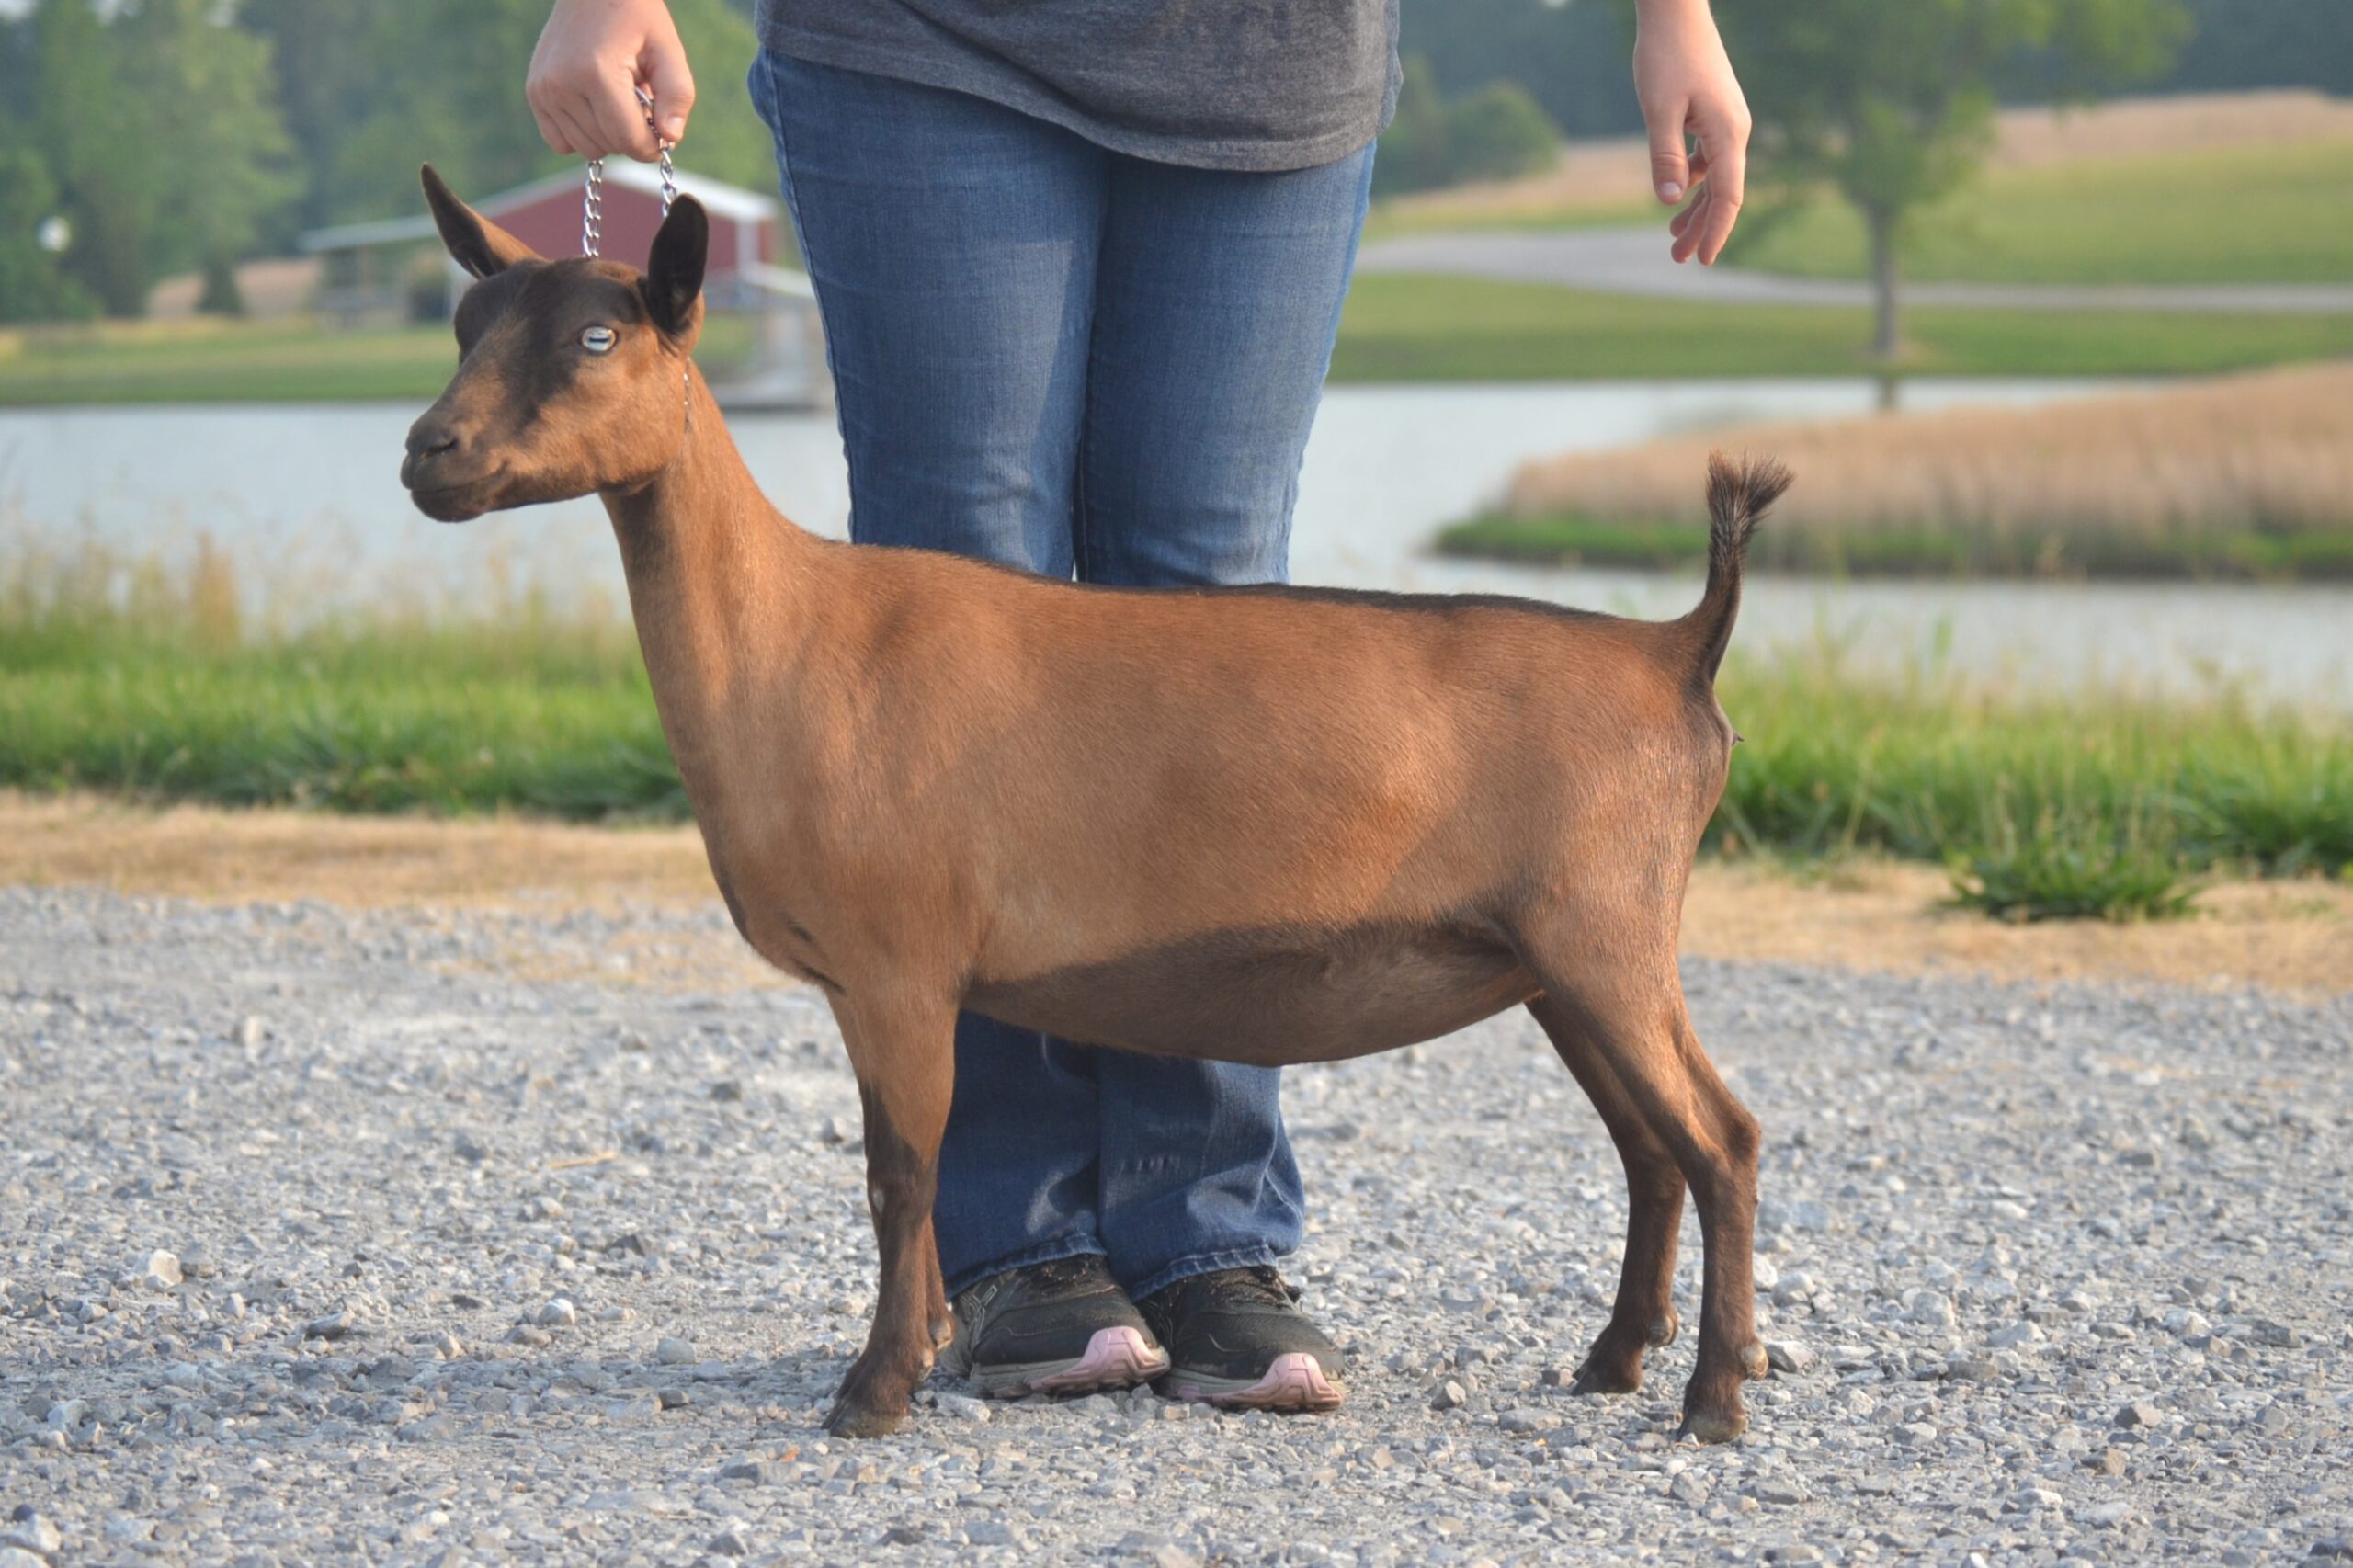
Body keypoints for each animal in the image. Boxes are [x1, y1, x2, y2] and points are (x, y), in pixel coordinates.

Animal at [404, 174, 1788, 1440]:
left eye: (597, 338)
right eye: (466, 319)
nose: (428, 451)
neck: (798, 643)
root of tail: (1679, 652)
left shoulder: (900, 960)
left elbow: (901, 1174)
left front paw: (876, 1387)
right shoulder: (869, 980)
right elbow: (896, 1173)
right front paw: (930, 1348)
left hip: (1606, 929)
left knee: (1721, 1135)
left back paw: (1714, 1395)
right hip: (1555, 958)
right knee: (1652, 1146)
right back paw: (1615, 1358)